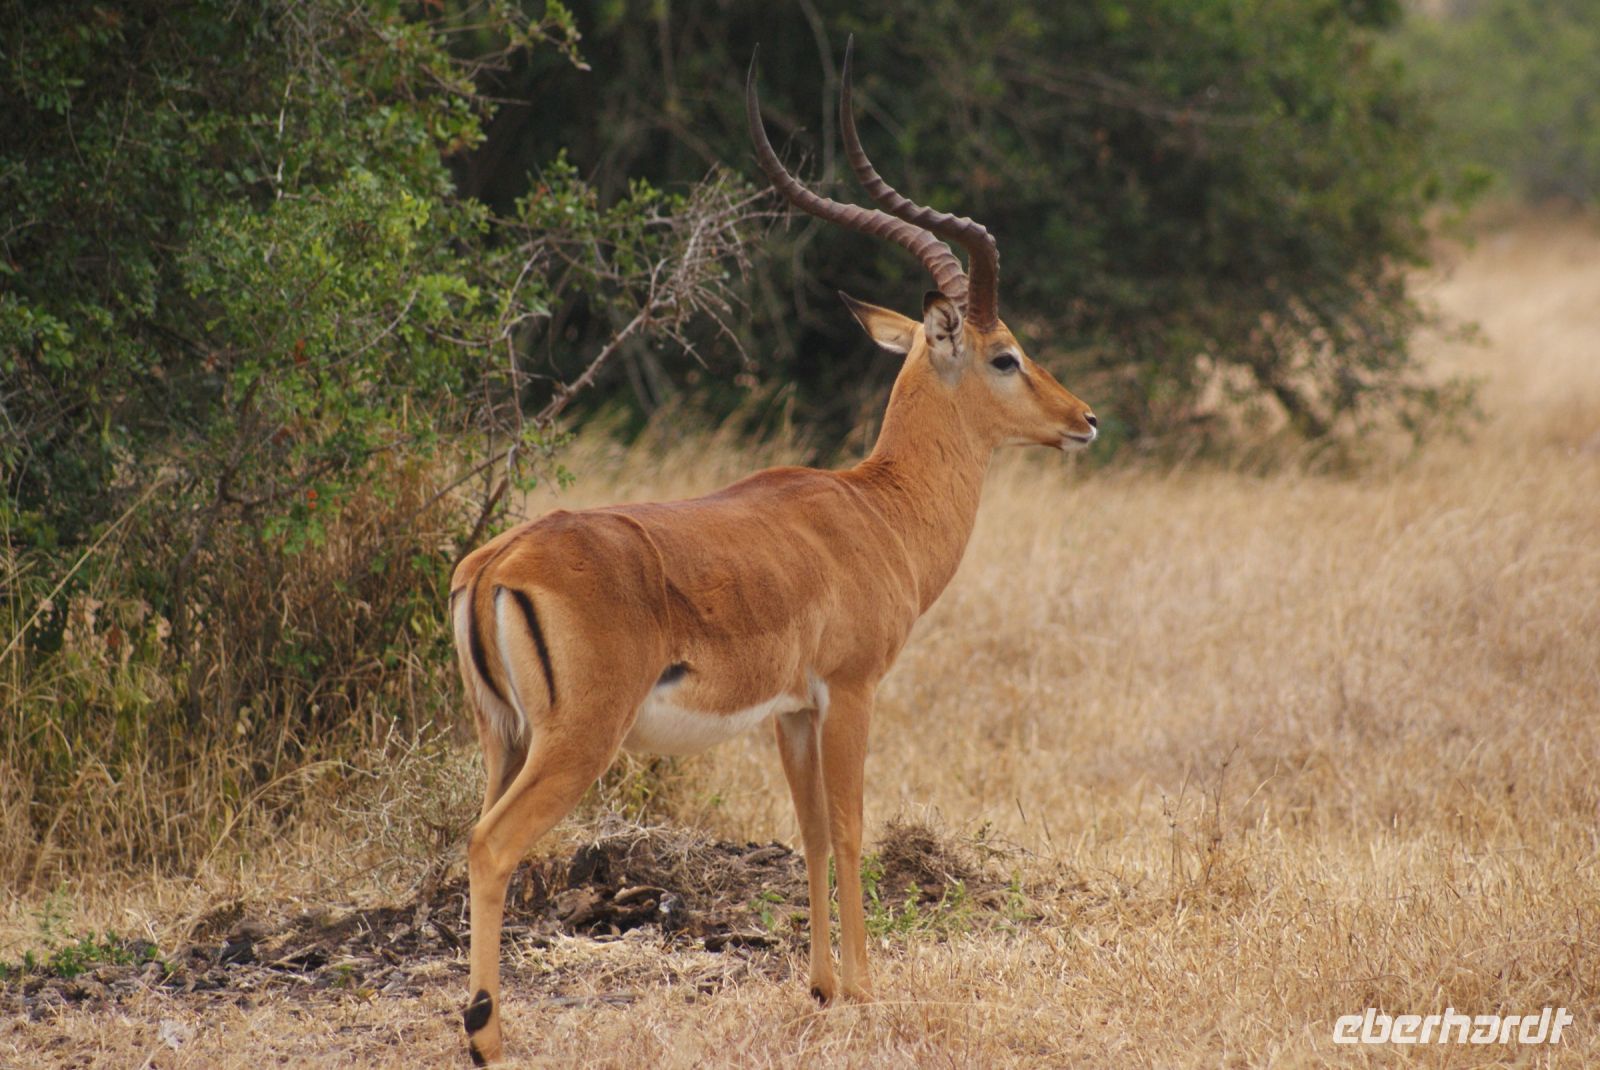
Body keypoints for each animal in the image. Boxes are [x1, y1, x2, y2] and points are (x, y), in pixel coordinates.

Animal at [450, 41, 1096, 1066]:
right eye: (1006, 355)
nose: (1084, 419)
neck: (877, 511)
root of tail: (497, 563)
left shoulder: (790, 711)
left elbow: (812, 835)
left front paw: (824, 987)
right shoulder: (851, 691)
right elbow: (855, 827)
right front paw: (869, 990)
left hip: (500, 736)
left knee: (471, 835)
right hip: (577, 740)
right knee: (492, 845)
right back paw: (487, 1035)